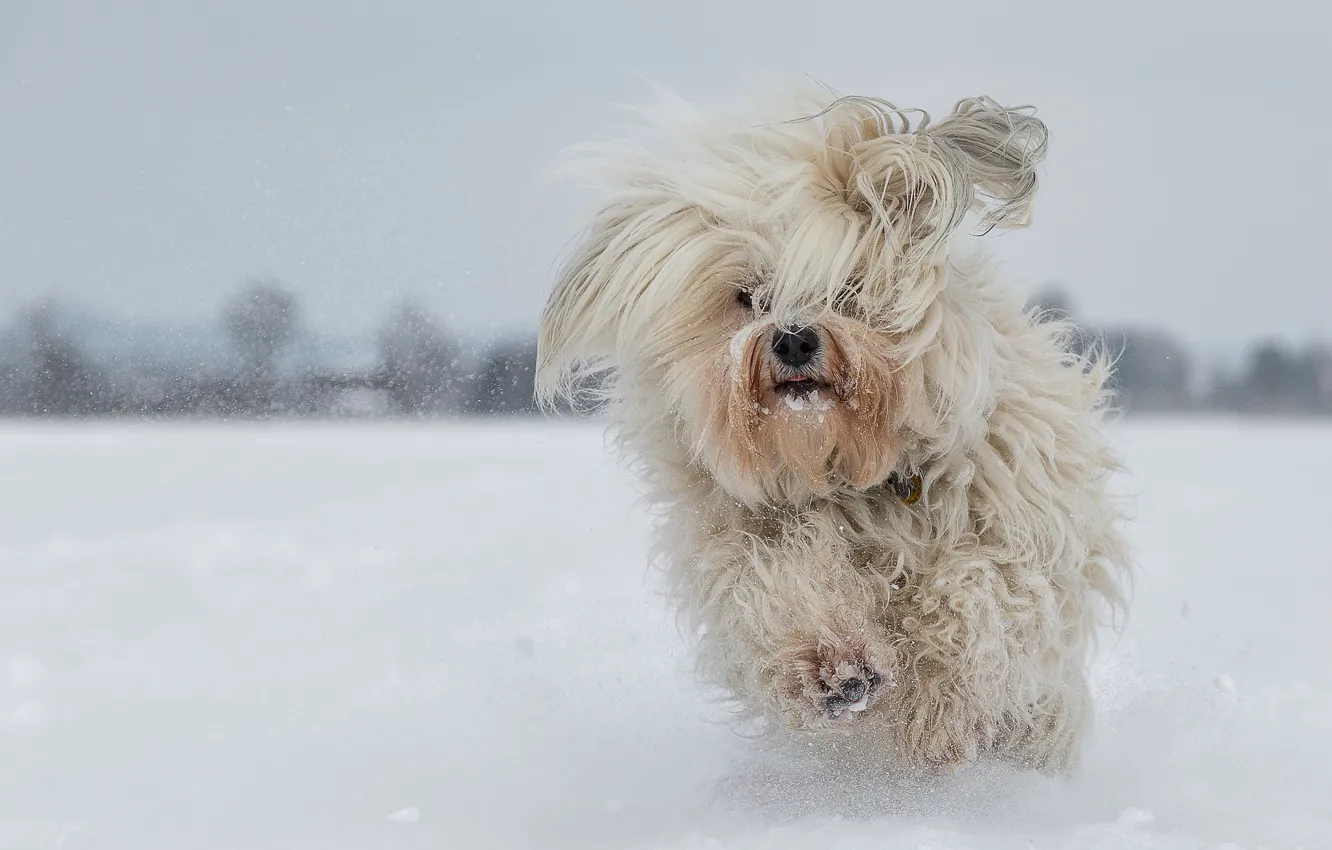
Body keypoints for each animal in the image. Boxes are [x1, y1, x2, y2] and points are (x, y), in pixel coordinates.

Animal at [535, 89, 1129, 778]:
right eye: (749, 296)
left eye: (848, 289)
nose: (793, 338)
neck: (848, 467)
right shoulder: (743, 537)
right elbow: (779, 579)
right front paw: (834, 664)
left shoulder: (1013, 531)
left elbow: (976, 594)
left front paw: (937, 709)